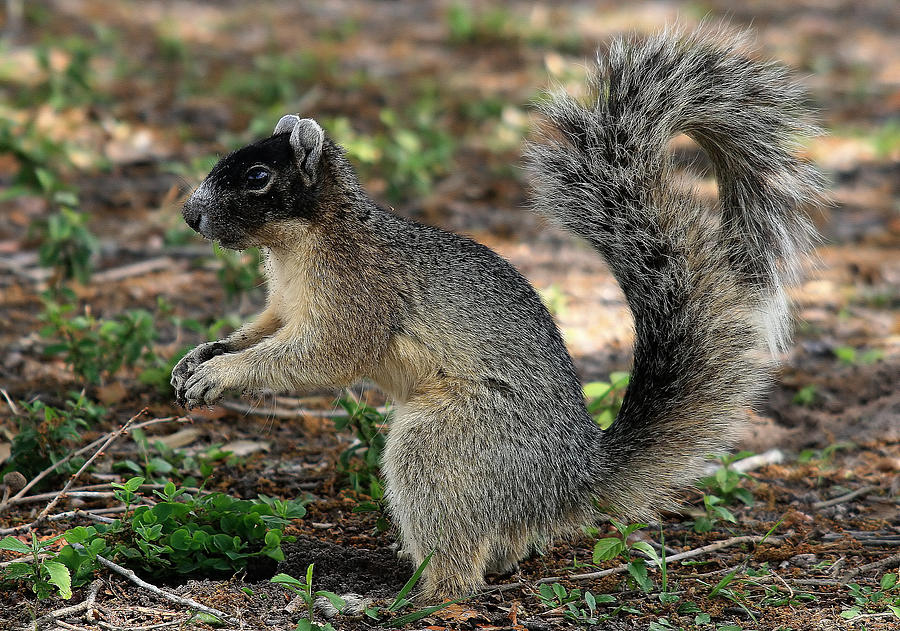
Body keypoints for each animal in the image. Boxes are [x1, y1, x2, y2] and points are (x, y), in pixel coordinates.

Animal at [169, 29, 824, 600]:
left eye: (258, 176)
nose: (190, 215)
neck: (300, 245)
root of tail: (569, 481)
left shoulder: (360, 294)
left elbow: (324, 354)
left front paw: (222, 375)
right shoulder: (281, 303)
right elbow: (263, 332)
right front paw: (201, 357)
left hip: (451, 445)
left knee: (460, 566)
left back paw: (404, 598)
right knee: (498, 547)